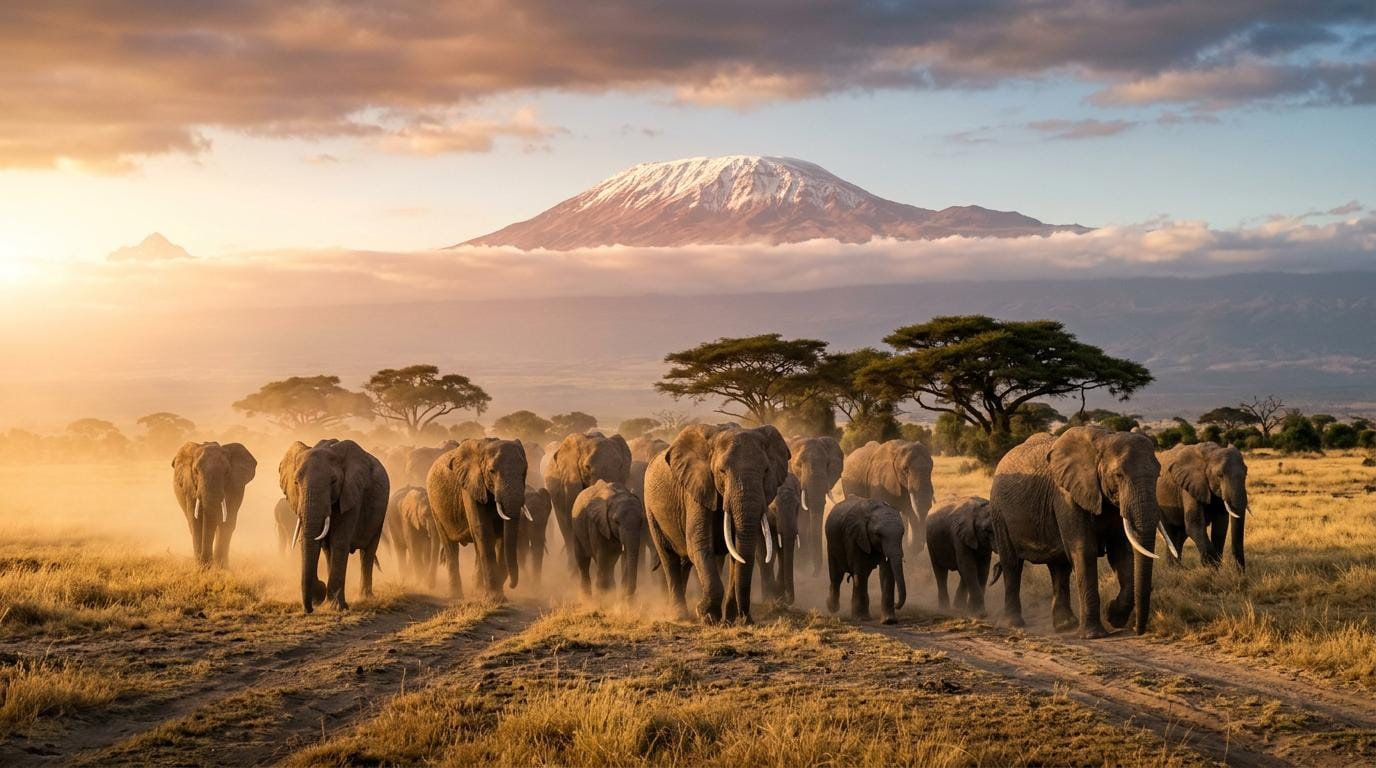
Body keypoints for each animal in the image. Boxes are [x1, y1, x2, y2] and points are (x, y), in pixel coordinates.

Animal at [279, 439, 389, 613]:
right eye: (296, 482)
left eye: (333, 481)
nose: (311, 607)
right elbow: (324, 544)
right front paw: (328, 602)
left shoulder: (352, 495)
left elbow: (339, 542)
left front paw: (338, 607)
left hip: (380, 514)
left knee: (368, 553)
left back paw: (366, 598)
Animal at [427, 438, 528, 599]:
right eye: (492, 471)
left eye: (524, 471)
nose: (512, 585)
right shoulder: (470, 486)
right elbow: (483, 530)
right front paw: (495, 598)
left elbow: (501, 535)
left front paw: (494, 595)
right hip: (434, 506)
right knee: (450, 545)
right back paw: (456, 595)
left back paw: (476, 591)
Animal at [642, 423, 791, 623]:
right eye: (722, 472)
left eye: (766, 471)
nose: (747, 619)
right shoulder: (697, 491)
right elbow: (700, 544)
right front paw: (706, 616)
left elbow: (737, 551)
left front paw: (729, 621)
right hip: (651, 509)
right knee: (669, 556)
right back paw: (680, 616)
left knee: (686, 561)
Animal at [755, 473, 801, 605]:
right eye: (774, 508)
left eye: (797, 507)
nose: (789, 601)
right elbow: (764, 551)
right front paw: (769, 599)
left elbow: (782, 550)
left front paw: (780, 597)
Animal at [990, 427, 1161, 638]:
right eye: (1118, 475)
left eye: (1158, 475)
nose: (1139, 631)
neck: (1104, 440)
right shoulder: (1066, 495)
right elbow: (1084, 550)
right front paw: (1094, 635)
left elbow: (1121, 553)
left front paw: (1113, 617)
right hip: (998, 511)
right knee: (1012, 564)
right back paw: (1013, 624)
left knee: (1059, 566)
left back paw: (1065, 626)